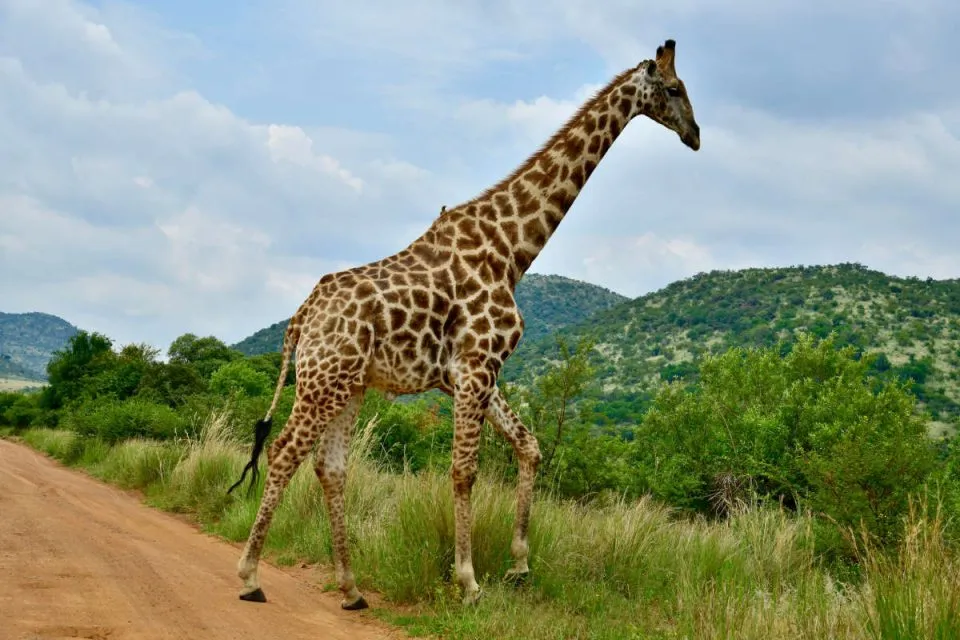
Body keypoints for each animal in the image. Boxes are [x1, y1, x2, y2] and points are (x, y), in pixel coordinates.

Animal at [228, 38, 700, 610]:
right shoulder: (476, 366)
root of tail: (301, 317)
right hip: (323, 381)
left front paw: (519, 565)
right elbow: (464, 470)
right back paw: (250, 576)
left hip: (351, 385)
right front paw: (470, 581)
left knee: (330, 467)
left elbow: (529, 446)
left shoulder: (472, 373)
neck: (513, 249)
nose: (696, 135)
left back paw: (352, 587)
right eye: (673, 89)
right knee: (282, 453)